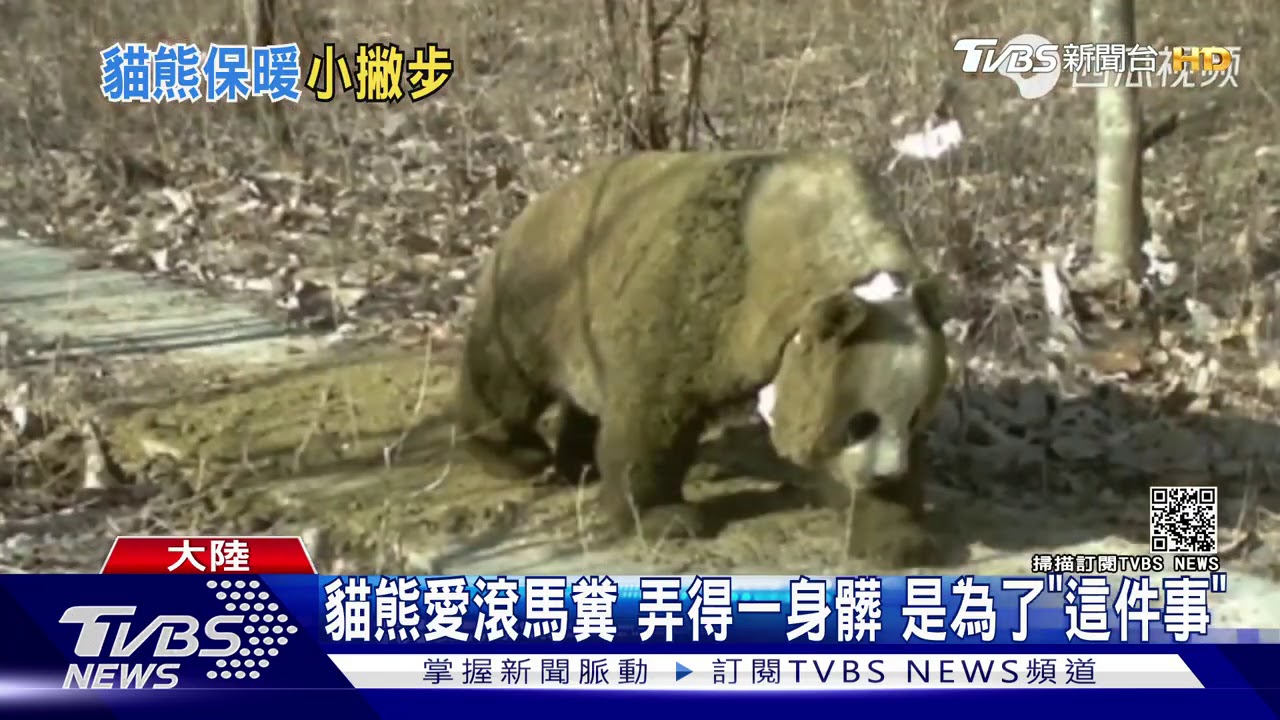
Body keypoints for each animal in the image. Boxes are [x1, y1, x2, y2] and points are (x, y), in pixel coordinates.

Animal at [451, 149, 950, 567]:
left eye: (914, 417)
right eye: (860, 422)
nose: (886, 474)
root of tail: (531, 208)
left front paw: (898, 535)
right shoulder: (700, 295)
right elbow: (652, 413)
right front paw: (664, 518)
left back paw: (580, 462)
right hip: (539, 298)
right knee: (507, 379)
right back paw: (513, 452)